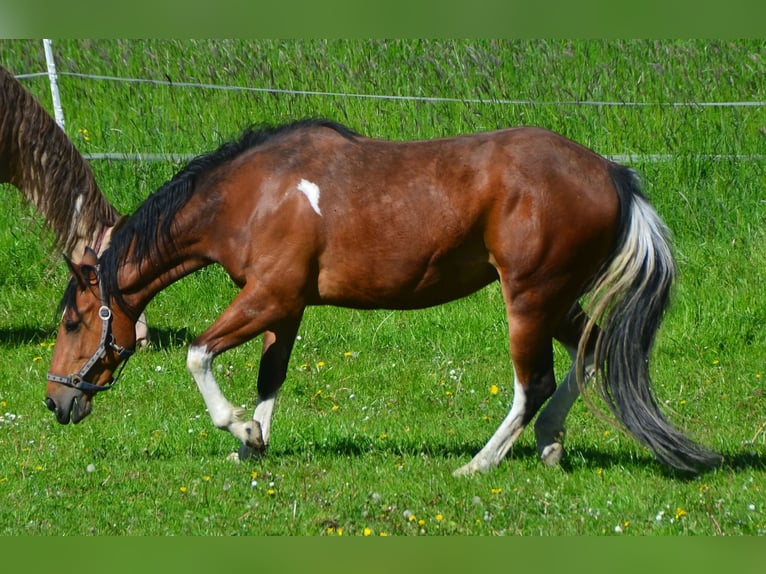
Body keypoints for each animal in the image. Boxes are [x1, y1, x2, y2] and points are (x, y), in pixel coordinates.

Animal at [45, 119, 724, 474]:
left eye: (74, 322)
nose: (57, 402)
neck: (252, 196)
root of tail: (612, 173)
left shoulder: (267, 298)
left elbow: (196, 354)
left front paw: (236, 427)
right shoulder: (286, 309)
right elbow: (270, 377)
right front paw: (252, 443)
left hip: (529, 301)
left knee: (533, 383)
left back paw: (478, 464)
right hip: (556, 300)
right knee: (593, 350)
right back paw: (551, 445)